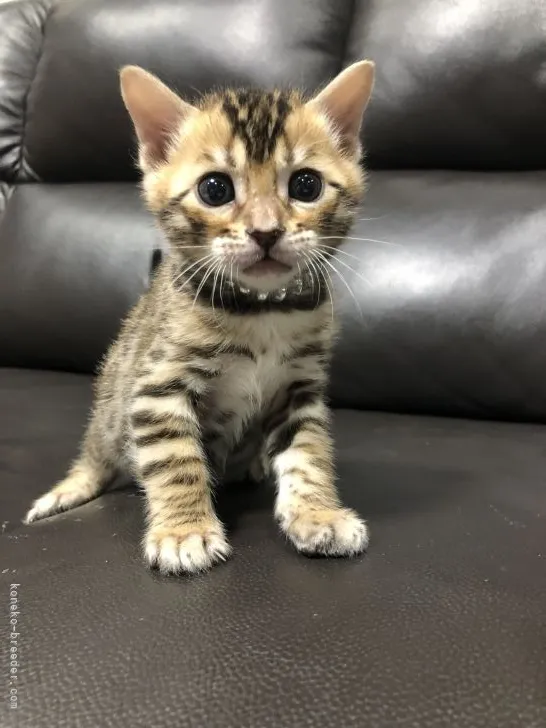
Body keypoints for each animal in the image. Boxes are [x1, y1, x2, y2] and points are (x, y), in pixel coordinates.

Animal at [24, 61, 374, 576]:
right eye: (215, 189)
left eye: (306, 185)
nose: (266, 232)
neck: (261, 310)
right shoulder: (157, 387)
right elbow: (175, 460)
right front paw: (183, 531)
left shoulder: (299, 388)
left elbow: (308, 453)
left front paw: (317, 514)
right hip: (109, 411)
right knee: (95, 456)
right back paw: (70, 489)